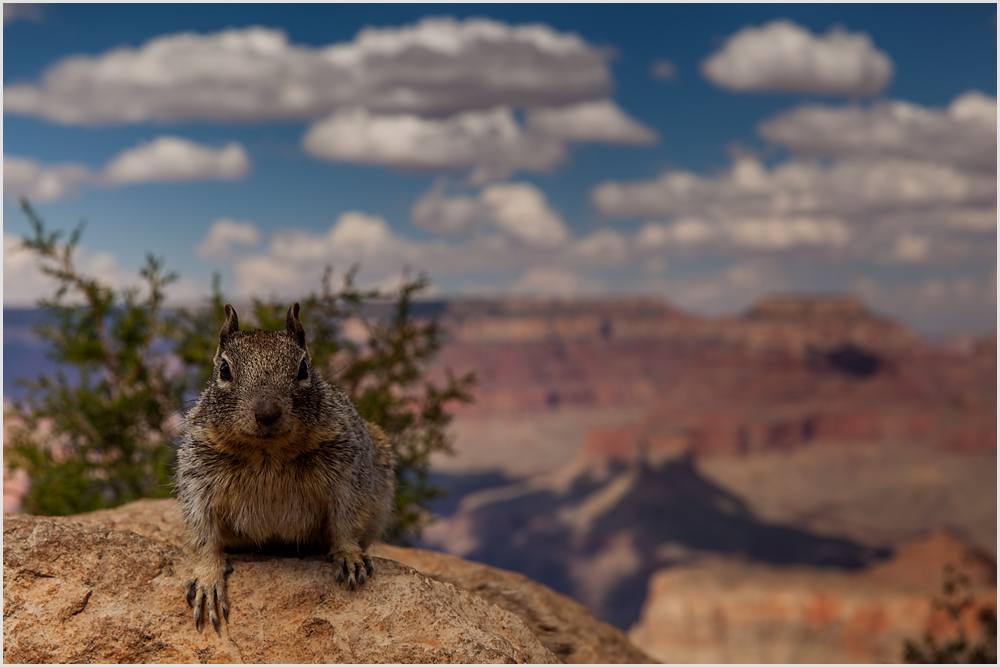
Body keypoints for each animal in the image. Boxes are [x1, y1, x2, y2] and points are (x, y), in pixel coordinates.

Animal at [176, 306, 394, 636]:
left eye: (303, 367)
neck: (268, 452)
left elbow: (347, 520)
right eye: (224, 369)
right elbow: (203, 531)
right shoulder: (198, 476)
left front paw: (349, 555)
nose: (267, 413)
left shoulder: (349, 471)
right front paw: (207, 578)